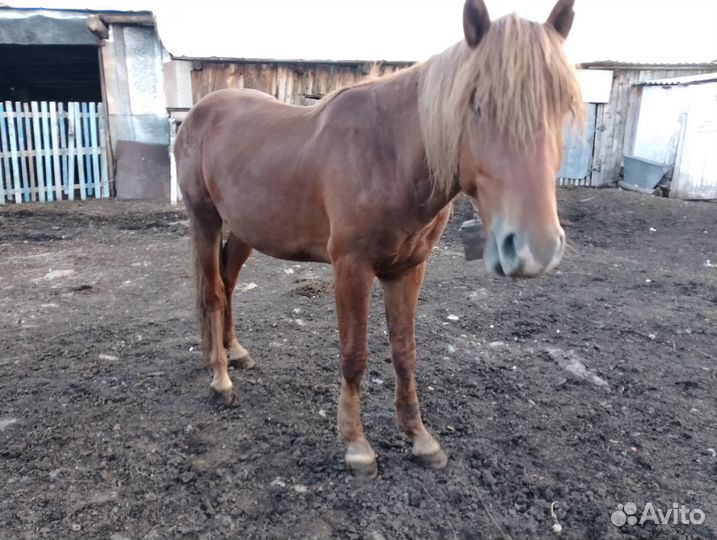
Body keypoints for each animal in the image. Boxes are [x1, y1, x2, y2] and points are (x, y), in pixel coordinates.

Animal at [175, 0, 584, 478]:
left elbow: (404, 352)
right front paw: (357, 445)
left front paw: (420, 437)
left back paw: (234, 351)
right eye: (476, 103)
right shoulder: (352, 268)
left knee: (228, 283)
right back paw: (221, 379)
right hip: (205, 219)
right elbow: (355, 355)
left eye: (563, 105)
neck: (389, 155)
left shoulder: (407, 269)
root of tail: (199, 113)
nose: (536, 248)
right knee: (213, 293)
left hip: (244, 229)